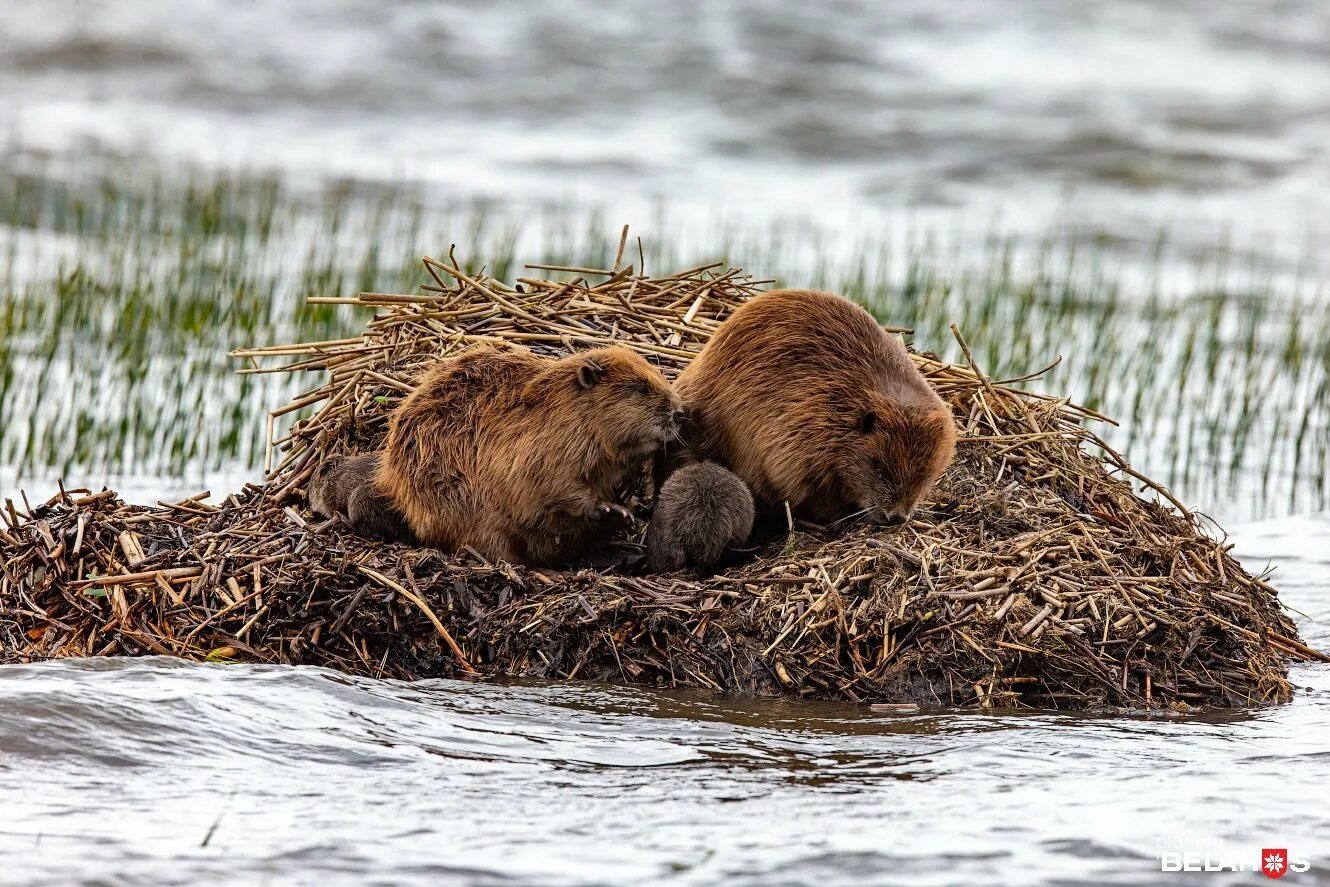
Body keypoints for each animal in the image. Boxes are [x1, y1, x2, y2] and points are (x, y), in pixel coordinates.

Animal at [375, 343, 686, 566]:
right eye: (640, 388)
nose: (680, 413)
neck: (564, 407)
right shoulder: (541, 448)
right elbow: (554, 484)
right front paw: (611, 508)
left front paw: (627, 489)